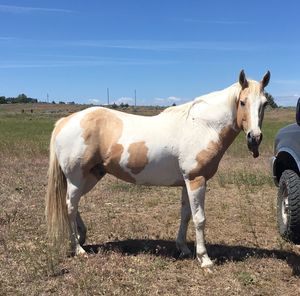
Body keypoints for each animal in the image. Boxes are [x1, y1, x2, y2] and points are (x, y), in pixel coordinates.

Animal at [45, 70, 270, 270]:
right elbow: (199, 219)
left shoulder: (186, 182)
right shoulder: (196, 179)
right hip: (76, 178)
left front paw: (183, 249)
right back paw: (78, 249)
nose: (255, 138)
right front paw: (205, 259)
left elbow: (186, 215)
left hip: (91, 175)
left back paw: (81, 237)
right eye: (243, 102)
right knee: (70, 206)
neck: (204, 126)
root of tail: (65, 121)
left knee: (73, 205)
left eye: (264, 104)